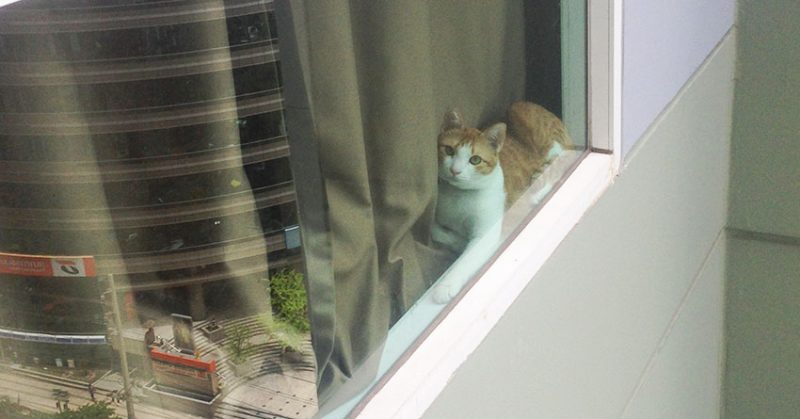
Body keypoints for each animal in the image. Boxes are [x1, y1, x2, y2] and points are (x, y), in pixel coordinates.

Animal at [428, 103, 572, 304]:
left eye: (475, 159)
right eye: (449, 150)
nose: (455, 170)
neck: (458, 196)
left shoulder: (485, 233)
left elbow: (466, 261)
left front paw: (445, 286)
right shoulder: (437, 221)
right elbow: (438, 232)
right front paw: (459, 241)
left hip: (520, 110)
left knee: (563, 158)